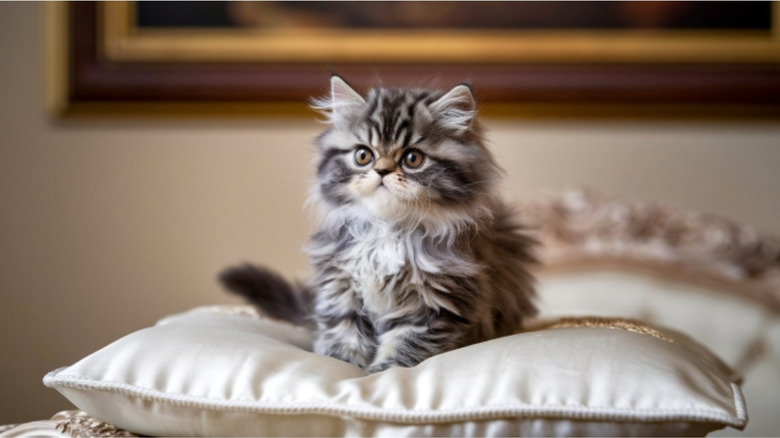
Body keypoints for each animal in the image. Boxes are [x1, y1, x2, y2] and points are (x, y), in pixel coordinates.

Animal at [219, 75, 536, 372]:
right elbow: (344, 333)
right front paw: (342, 364)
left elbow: (406, 344)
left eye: (412, 158)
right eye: (363, 155)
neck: (387, 230)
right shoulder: (340, 285)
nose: (382, 171)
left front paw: (381, 371)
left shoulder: (436, 301)